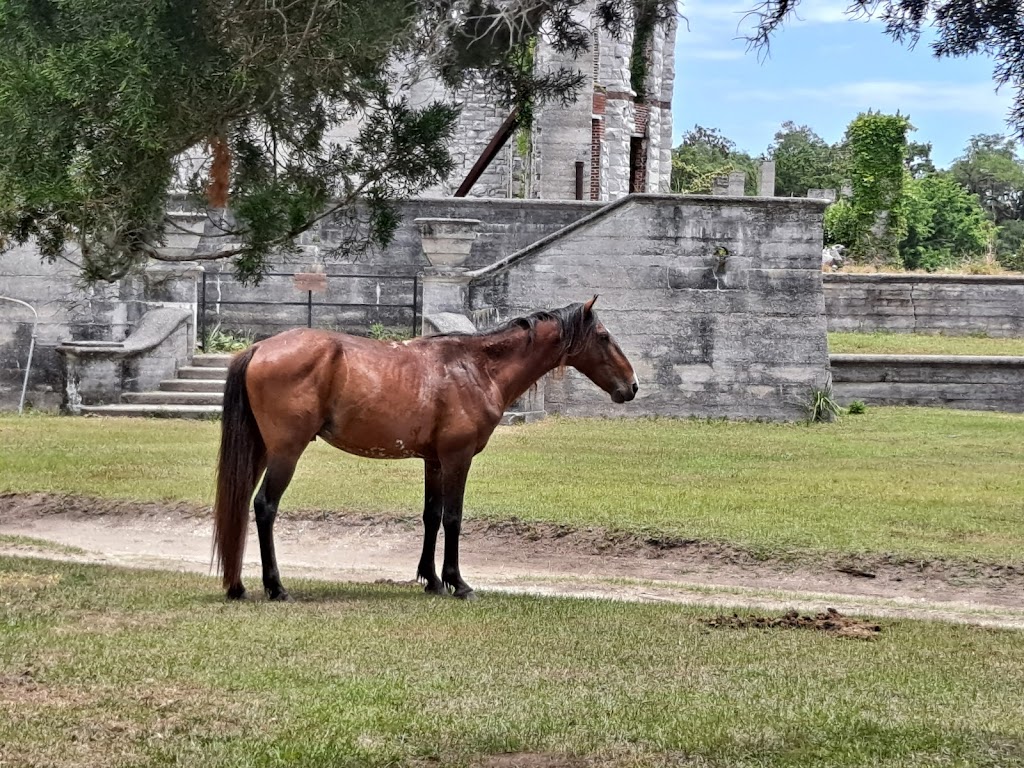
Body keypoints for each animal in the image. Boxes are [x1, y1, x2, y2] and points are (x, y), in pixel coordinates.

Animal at [211, 296, 634, 606]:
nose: (632, 386)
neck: (476, 367)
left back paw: (238, 586)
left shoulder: (434, 461)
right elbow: (453, 518)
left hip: (262, 450)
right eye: (604, 335)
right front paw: (457, 583)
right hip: (286, 452)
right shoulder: (457, 458)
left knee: (243, 504)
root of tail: (258, 347)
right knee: (264, 506)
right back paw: (275, 587)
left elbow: (431, 516)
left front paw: (430, 579)